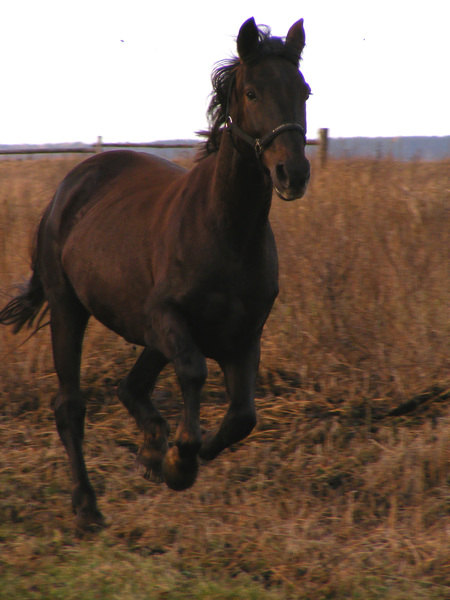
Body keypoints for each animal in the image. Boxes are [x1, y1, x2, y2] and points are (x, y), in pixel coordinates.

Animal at [0, 16, 310, 528]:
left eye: (304, 90)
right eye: (252, 93)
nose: (293, 173)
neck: (225, 230)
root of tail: (70, 185)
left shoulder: (245, 336)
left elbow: (242, 416)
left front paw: (170, 456)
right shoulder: (169, 319)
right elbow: (193, 373)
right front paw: (178, 460)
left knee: (130, 386)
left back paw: (147, 452)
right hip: (70, 309)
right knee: (71, 405)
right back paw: (87, 506)